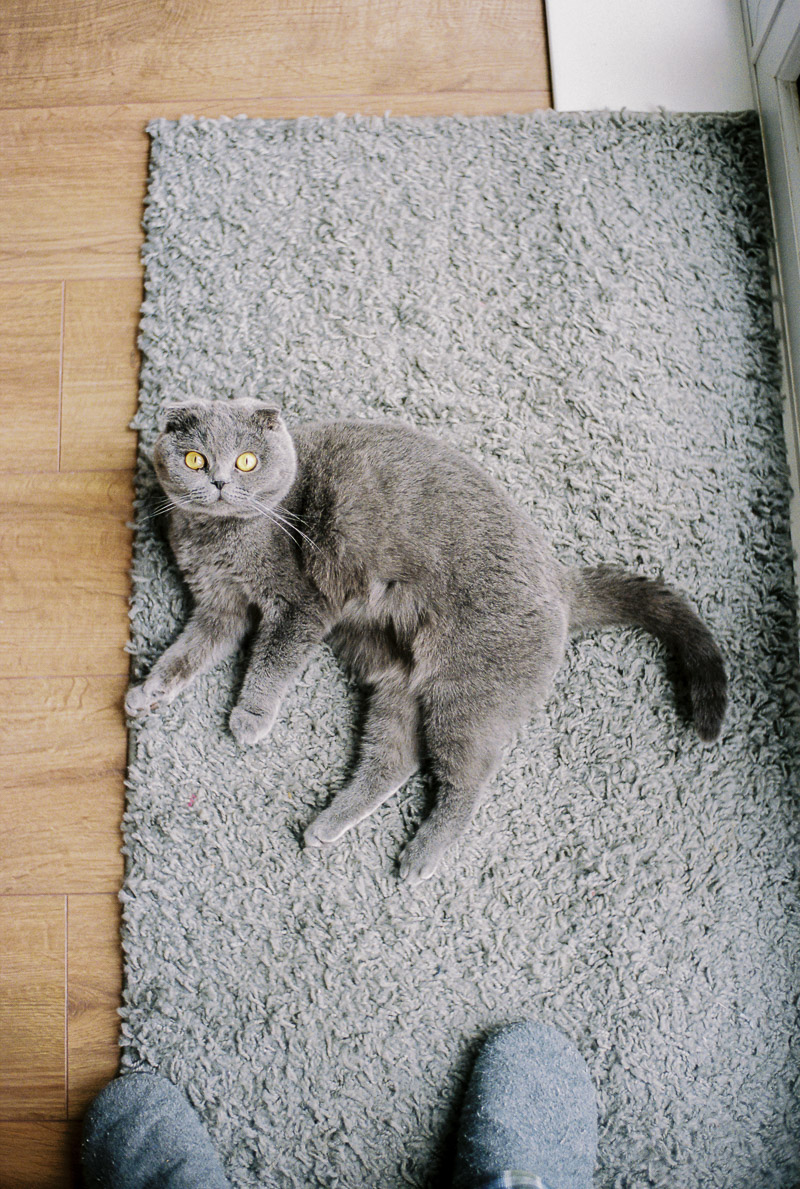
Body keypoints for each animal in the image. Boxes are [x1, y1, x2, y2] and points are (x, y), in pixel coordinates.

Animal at [123, 397, 722, 884]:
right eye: (195, 459)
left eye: (247, 460)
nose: (221, 481)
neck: (221, 537)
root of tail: (561, 582)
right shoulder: (217, 607)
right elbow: (186, 655)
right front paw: (147, 692)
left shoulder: (298, 604)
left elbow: (273, 661)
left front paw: (250, 717)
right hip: (398, 680)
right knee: (396, 758)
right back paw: (328, 824)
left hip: (466, 694)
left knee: (468, 781)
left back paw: (420, 857)